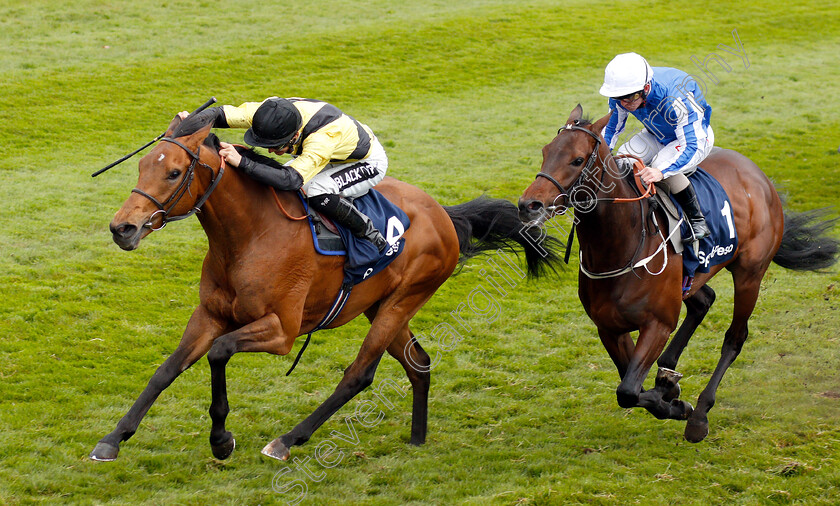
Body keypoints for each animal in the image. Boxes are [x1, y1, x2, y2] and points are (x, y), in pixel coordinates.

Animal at [90, 112, 556, 460]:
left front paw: (221, 440)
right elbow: (166, 370)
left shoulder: (281, 330)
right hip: (382, 304)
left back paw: (287, 440)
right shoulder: (209, 315)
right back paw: (417, 438)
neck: (250, 236)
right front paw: (113, 439)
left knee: (359, 374)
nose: (122, 228)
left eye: (173, 172)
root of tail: (443, 213)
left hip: (403, 300)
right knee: (418, 363)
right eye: (141, 166)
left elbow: (219, 353)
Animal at [520, 105, 840, 440]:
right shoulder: (609, 328)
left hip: (750, 273)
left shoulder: (657, 324)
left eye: (577, 159)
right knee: (703, 301)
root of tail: (759, 176)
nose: (529, 204)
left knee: (735, 337)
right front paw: (668, 391)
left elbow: (628, 391)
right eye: (545, 152)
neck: (620, 249)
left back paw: (699, 414)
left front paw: (677, 403)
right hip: (692, 278)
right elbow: (629, 385)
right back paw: (669, 372)